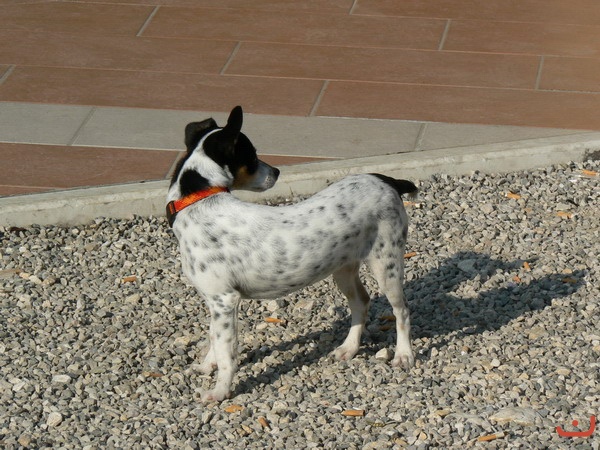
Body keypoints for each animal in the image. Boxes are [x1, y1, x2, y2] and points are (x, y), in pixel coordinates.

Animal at [167, 106, 418, 401]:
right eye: (252, 155)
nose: (276, 171)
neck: (197, 202)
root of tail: (386, 180)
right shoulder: (214, 301)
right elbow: (213, 339)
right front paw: (208, 366)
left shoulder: (224, 300)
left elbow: (226, 353)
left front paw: (220, 391)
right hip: (343, 269)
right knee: (361, 302)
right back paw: (349, 348)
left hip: (386, 264)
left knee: (402, 310)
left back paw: (404, 354)